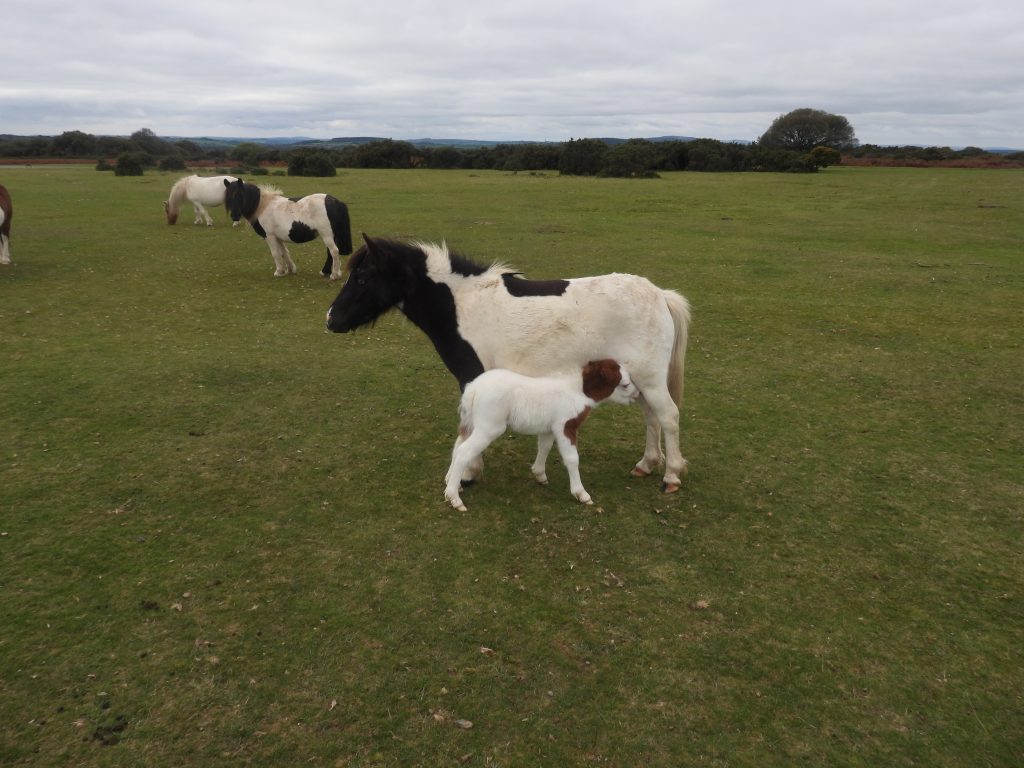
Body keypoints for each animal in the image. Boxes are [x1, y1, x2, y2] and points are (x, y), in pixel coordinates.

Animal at [223, 179, 352, 280]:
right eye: (228, 197)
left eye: (239, 194)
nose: (234, 216)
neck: (262, 206)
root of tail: (335, 202)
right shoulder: (278, 237)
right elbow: (284, 252)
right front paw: (290, 269)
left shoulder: (269, 236)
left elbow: (275, 253)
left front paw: (279, 271)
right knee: (331, 252)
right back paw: (326, 272)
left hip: (327, 235)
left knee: (334, 251)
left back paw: (334, 275)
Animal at [326, 236, 692, 493]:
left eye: (362, 278)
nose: (331, 319)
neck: (462, 304)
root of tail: (660, 295)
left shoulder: (473, 378)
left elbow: (470, 428)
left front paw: (468, 474)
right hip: (640, 380)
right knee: (651, 417)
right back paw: (646, 464)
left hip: (649, 379)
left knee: (668, 417)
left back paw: (671, 476)